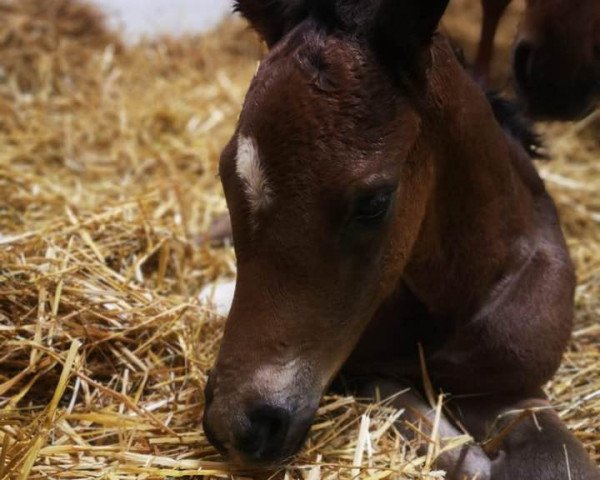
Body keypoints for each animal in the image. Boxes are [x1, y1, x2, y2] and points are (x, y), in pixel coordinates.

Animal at [203, 1, 600, 478]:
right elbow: (424, 424)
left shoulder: (511, 382)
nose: (235, 424)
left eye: (374, 203)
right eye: (225, 175)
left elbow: (558, 460)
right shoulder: (361, 367)